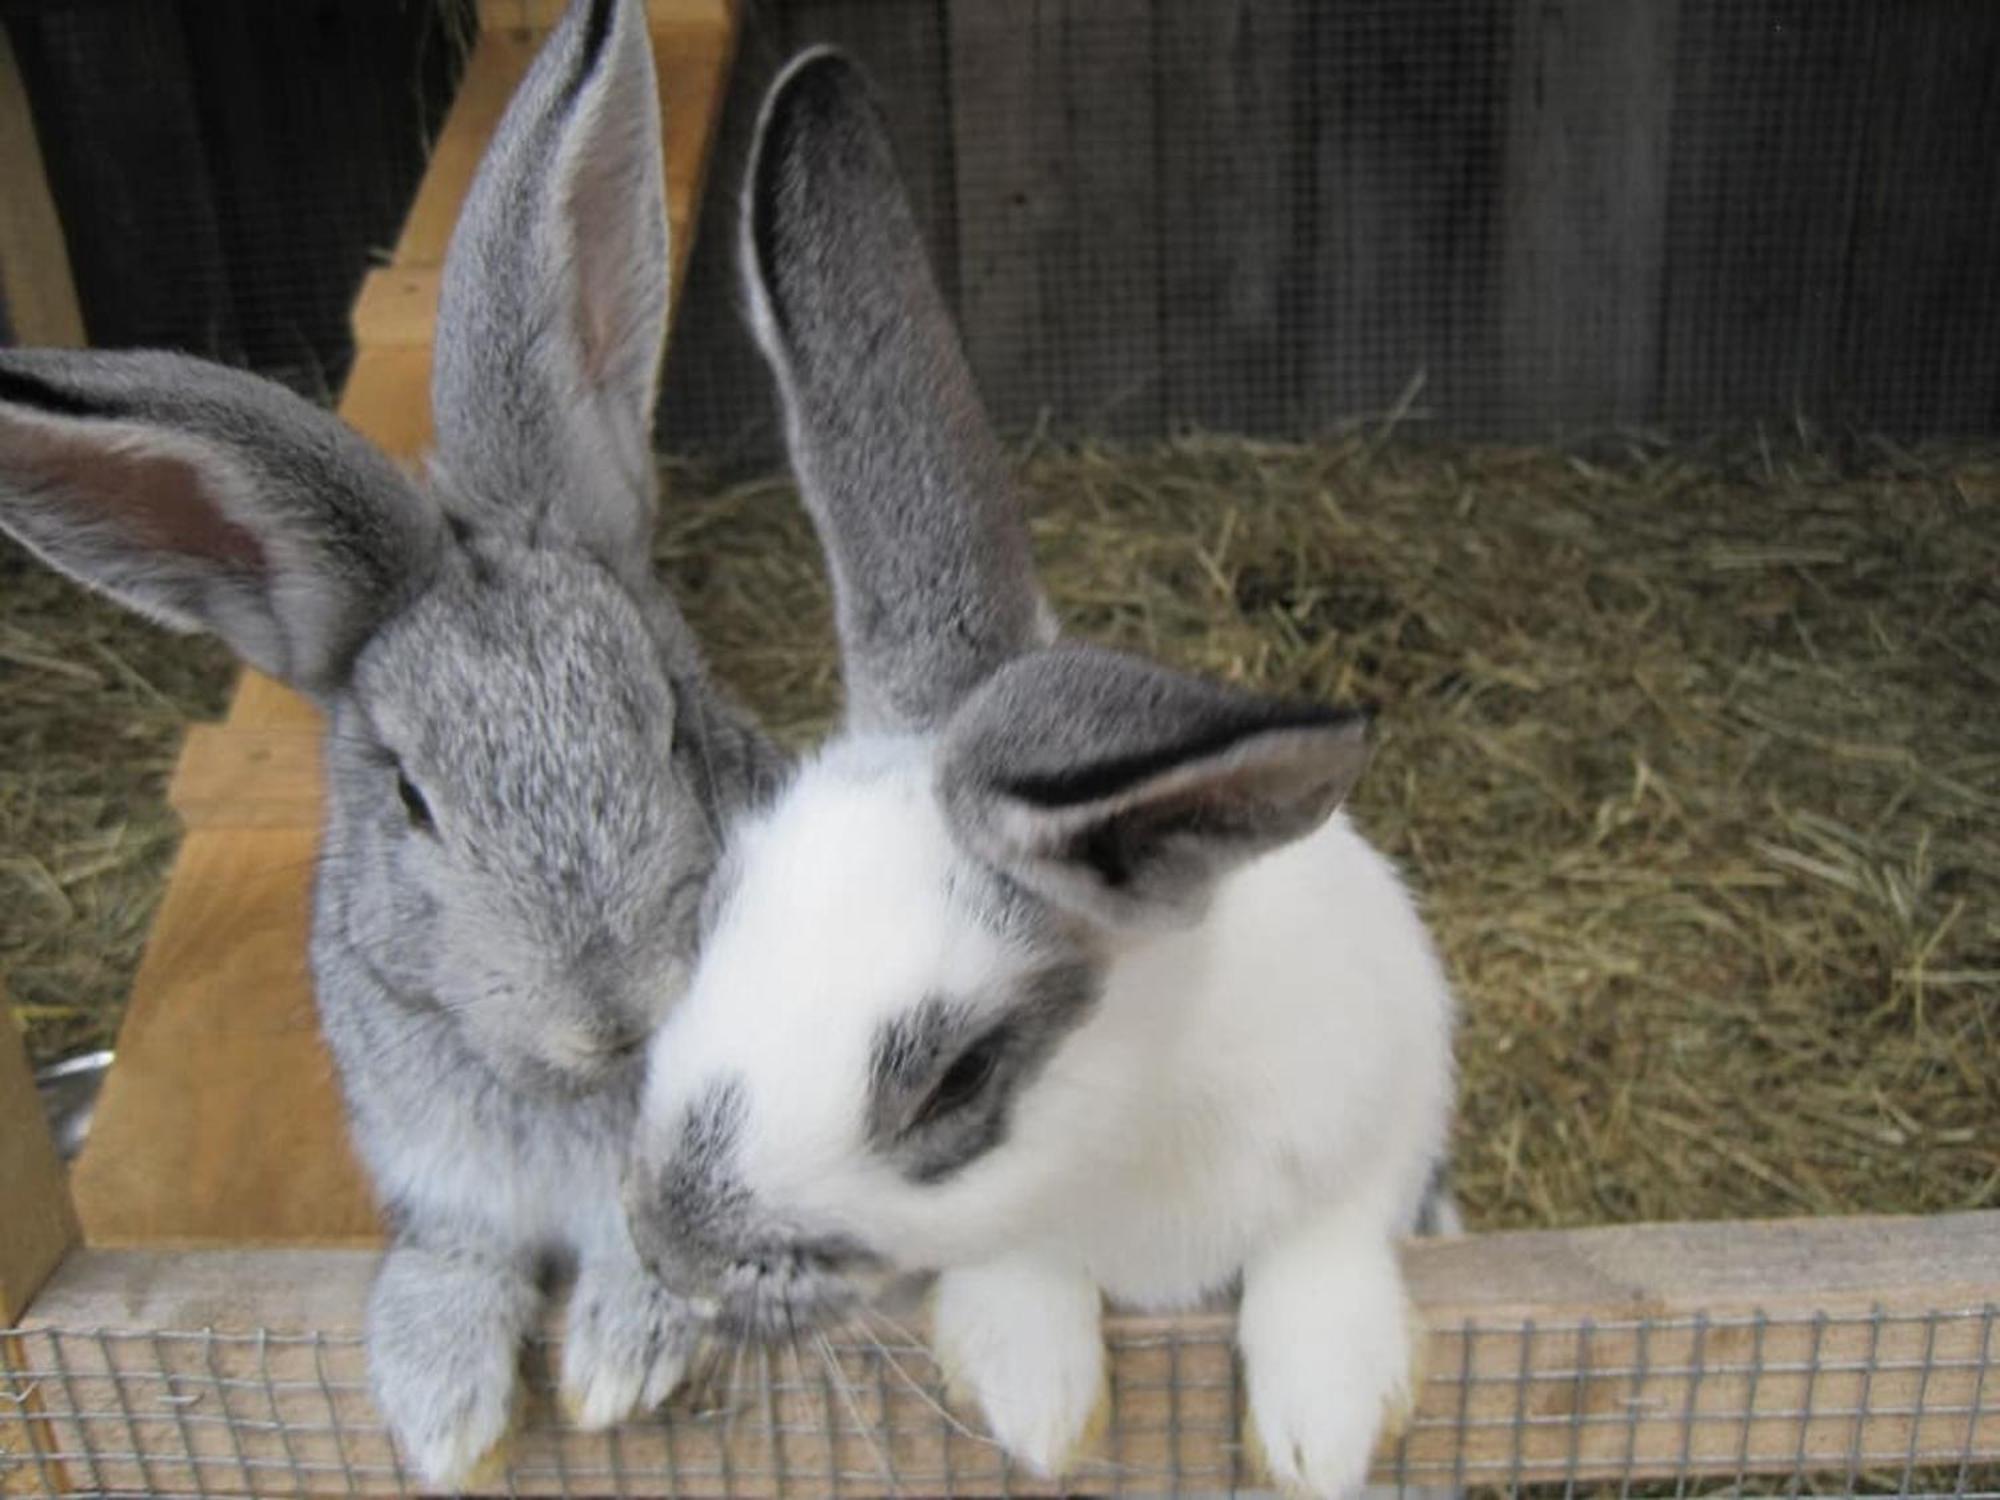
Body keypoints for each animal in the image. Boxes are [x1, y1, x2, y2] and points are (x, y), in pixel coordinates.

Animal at [0, 0, 776, 1488]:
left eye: (669, 722)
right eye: (409, 798)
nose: (611, 1012)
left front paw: (619, 1359)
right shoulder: (436, 1175)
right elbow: (454, 1259)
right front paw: (439, 1409)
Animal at [624, 50, 1456, 1500]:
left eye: (958, 1081)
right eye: (712, 921)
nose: (668, 1252)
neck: (1130, 1144)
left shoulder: (1388, 1104)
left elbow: (1328, 1242)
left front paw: (1325, 1427)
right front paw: (1033, 1394)